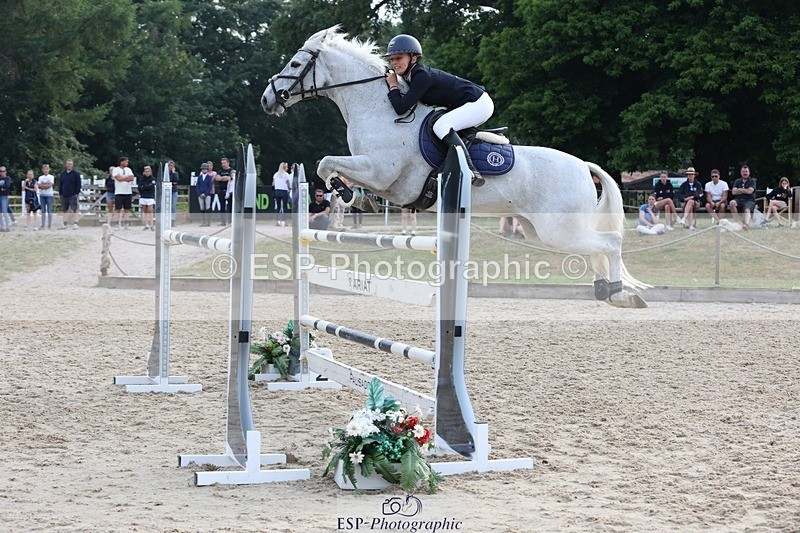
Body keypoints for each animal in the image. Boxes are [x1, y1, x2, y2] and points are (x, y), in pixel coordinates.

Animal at [261, 26, 647, 308]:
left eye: (295, 65)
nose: (266, 100)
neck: (379, 108)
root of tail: (583, 166)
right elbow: (328, 167)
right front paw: (354, 197)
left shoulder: (381, 172)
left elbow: (326, 163)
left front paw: (347, 194)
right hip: (540, 230)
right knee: (596, 246)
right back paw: (605, 289)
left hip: (560, 229)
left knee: (610, 241)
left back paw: (619, 293)